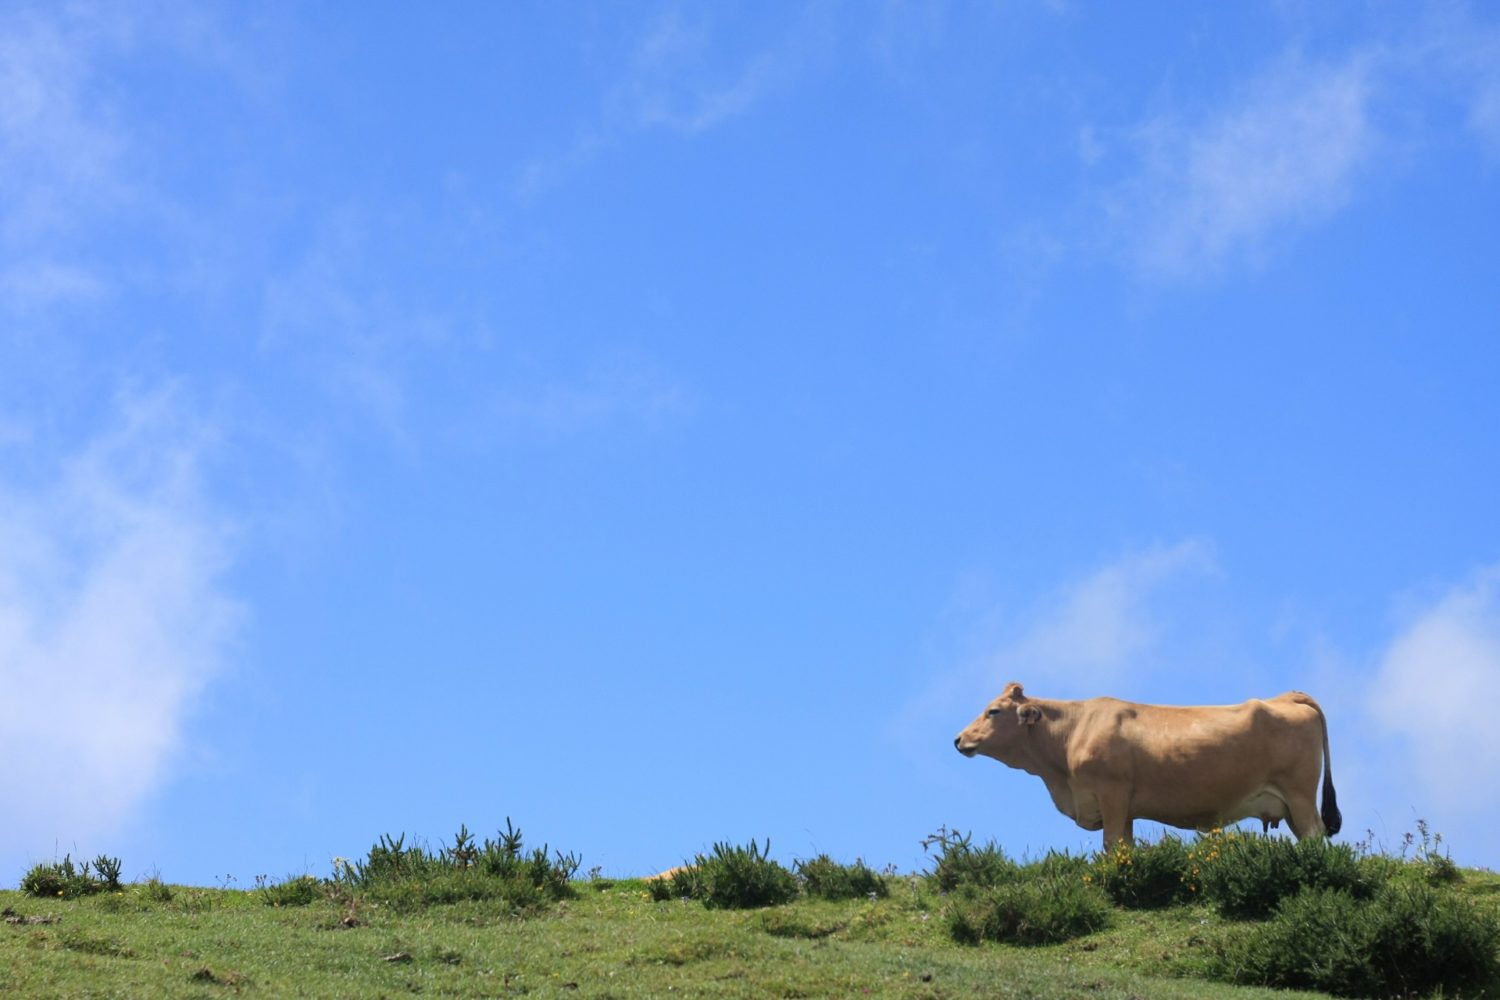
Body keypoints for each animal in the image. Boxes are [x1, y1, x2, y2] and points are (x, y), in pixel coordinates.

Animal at [954, 680, 1344, 845]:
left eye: (993, 711)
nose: (959, 739)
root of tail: (1287, 696)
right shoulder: (1124, 808)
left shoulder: (1112, 793)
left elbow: (1112, 845)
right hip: (1290, 805)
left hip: (1299, 795)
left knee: (1314, 836)